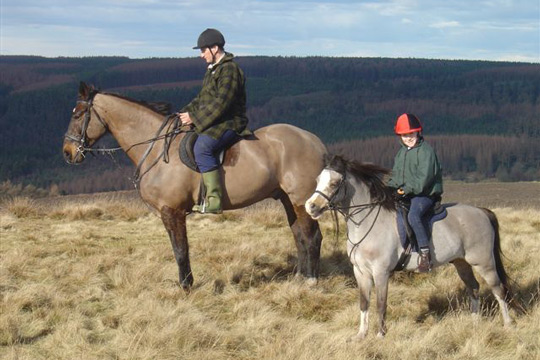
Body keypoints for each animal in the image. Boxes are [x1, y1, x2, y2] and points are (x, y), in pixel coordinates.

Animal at [61, 81, 326, 290]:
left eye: (78, 114)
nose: (68, 152)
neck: (157, 149)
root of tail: (313, 140)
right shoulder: (168, 213)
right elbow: (178, 248)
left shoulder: (173, 211)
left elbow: (181, 250)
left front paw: (186, 287)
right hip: (287, 199)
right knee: (299, 235)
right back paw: (300, 277)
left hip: (300, 200)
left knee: (311, 237)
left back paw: (311, 281)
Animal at [306, 155, 516, 340]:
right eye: (317, 180)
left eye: (334, 183)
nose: (311, 207)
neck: (365, 224)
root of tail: (482, 212)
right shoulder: (360, 272)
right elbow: (364, 303)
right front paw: (361, 335)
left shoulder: (381, 272)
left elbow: (380, 303)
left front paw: (380, 335)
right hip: (461, 263)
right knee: (473, 288)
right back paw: (474, 324)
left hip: (484, 263)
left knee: (498, 290)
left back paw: (507, 325)